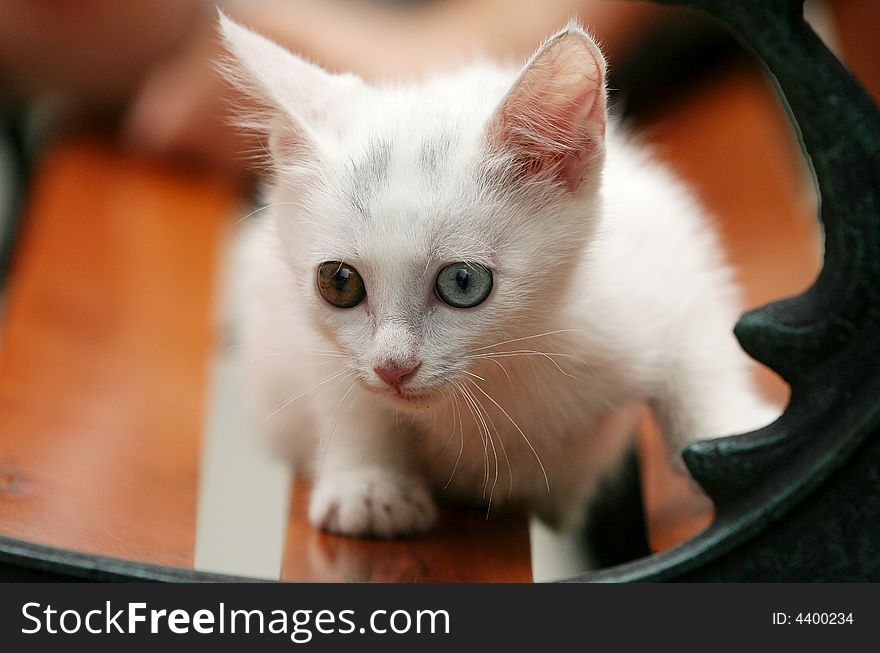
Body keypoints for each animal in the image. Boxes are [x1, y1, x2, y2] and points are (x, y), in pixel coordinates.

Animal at [220, 16, 776, 536]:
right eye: (339, 283)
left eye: (462, 283)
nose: (393, 368)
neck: (505, 364)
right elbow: (348, 394)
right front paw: (369, 486)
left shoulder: (662, 252)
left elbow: (697, 355)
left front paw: (730, 434)